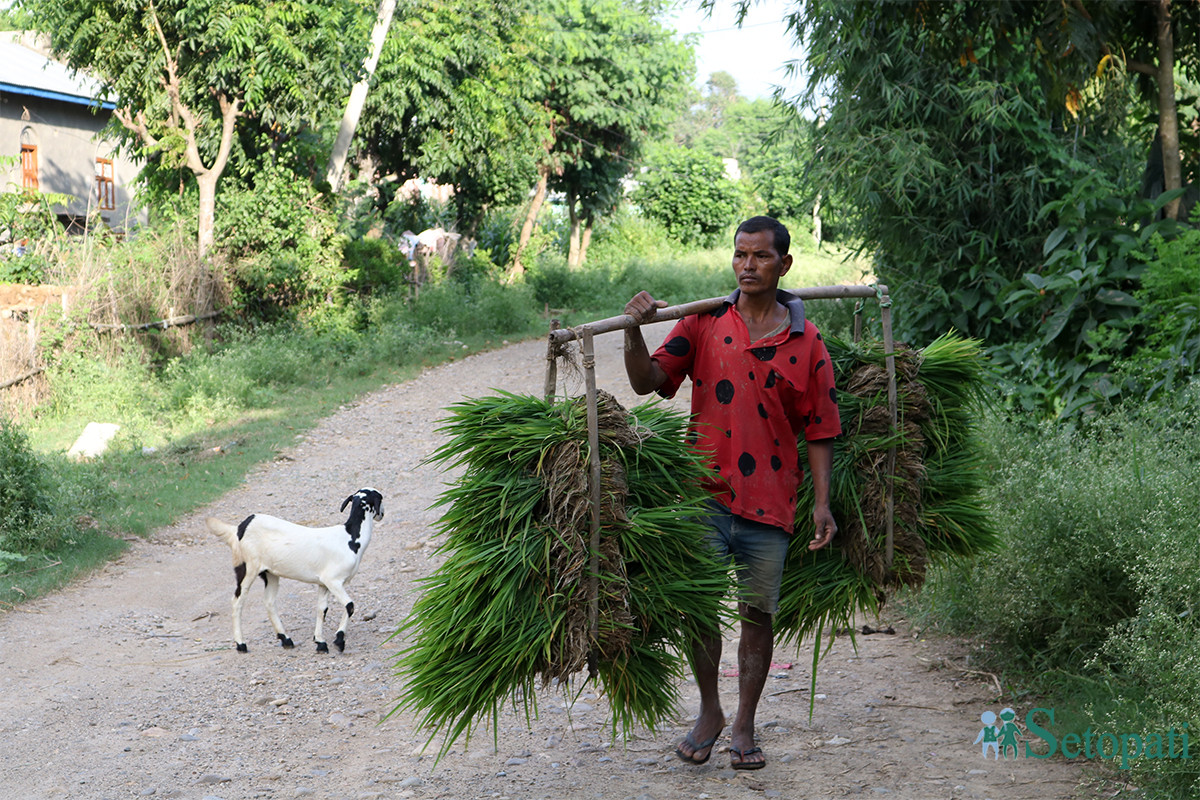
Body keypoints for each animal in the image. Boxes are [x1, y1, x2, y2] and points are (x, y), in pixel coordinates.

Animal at [206, 484, 384, 652]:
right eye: (380, 498)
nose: (381, 514)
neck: (350, 538)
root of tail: (240, 528)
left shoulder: (323, 583)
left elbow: (322, 609)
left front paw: (320, 643)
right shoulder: (333, 580)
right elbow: (349, 606)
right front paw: (339, 641)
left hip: (269, 572)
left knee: (269, 602)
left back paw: (286, 640)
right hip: (247, 566)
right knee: (237, 601)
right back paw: (241, 644)